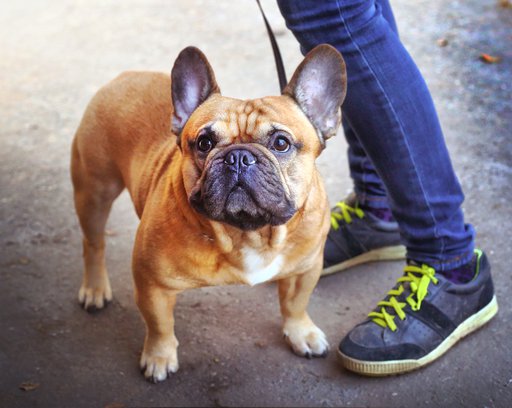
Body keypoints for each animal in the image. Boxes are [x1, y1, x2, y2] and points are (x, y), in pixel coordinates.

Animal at [70, 44, 346, 382]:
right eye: (204, 142)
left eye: (281, 143)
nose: (238, 157)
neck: (246, 233)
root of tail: (124, 77)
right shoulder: (152, 285)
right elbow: (159, 325)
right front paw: (159, 357)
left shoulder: (306, 269)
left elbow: (296, 303)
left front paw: (300, 333)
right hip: (94, 190)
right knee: (93, 242)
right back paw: (95, 288)